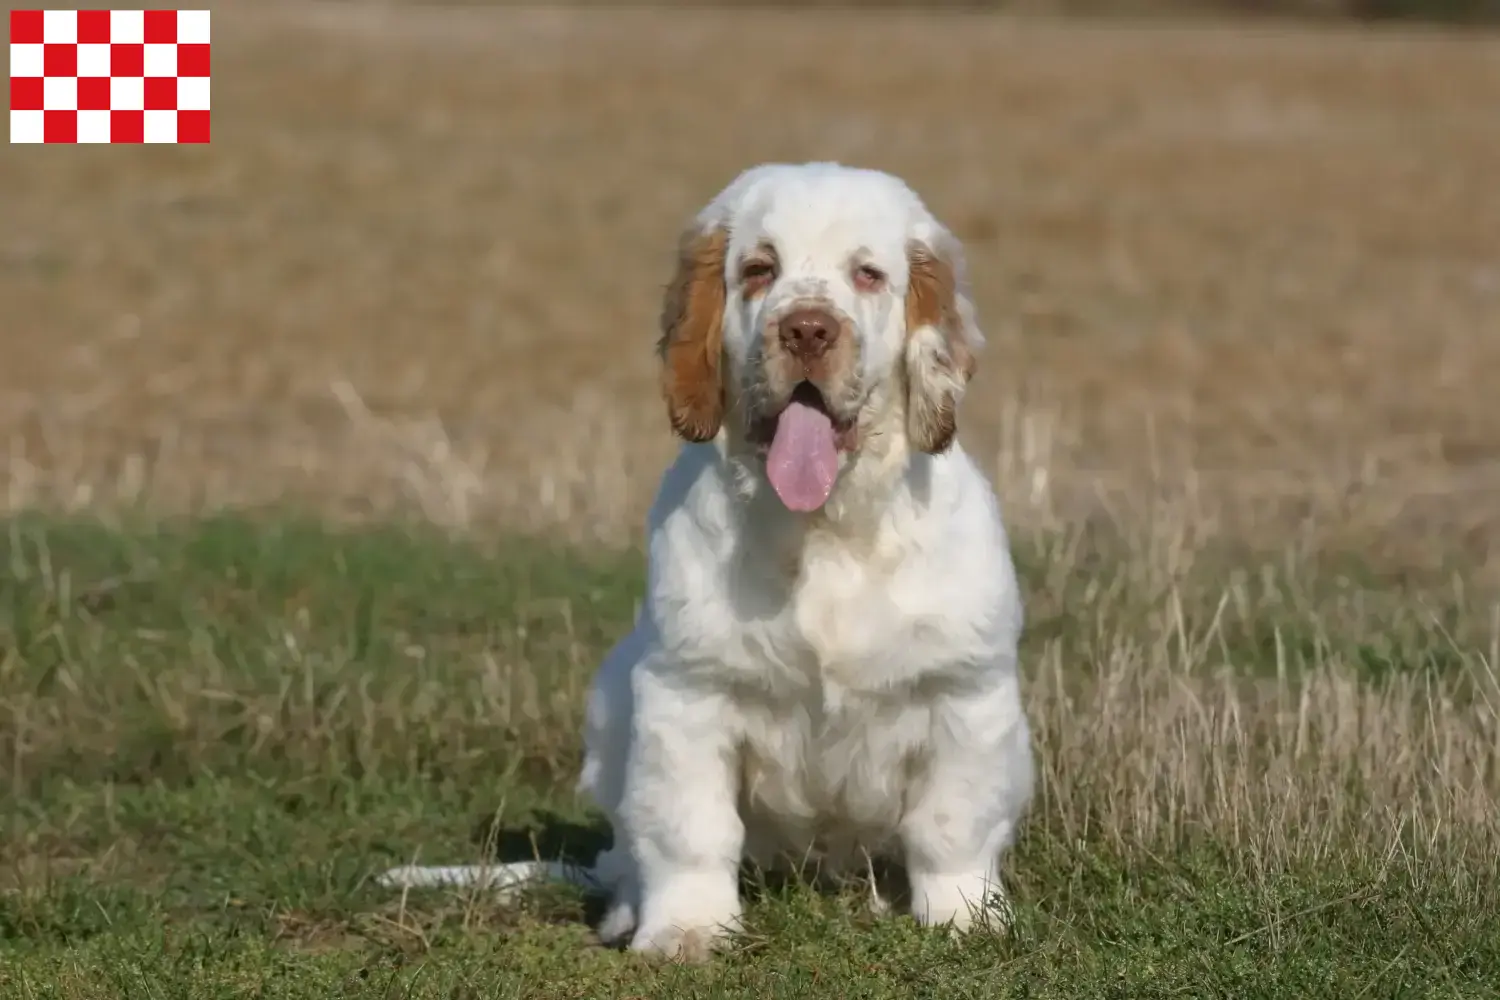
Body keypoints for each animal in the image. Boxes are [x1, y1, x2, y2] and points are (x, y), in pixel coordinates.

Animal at [378, 162, 1032, 959]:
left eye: (868, 274)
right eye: (759, 270)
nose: (807, 328)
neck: (823, 530)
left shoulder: (966, 691)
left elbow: (950, 823)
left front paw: (966, 916)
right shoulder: (687, 691)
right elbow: (690, 827)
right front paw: (686, 930)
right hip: (613, 698)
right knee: (631, 850)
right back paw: (627, 909)